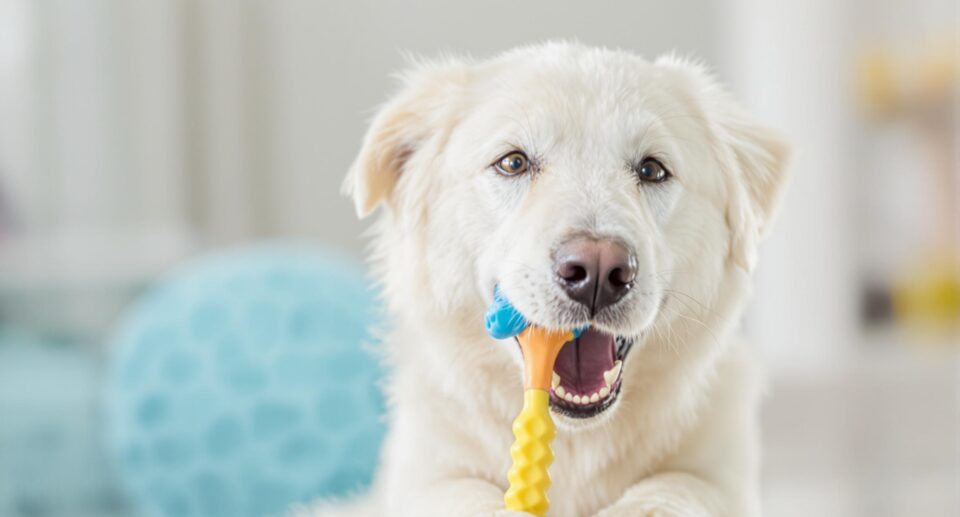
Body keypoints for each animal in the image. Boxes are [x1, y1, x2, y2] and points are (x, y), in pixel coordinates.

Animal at [300, 43, 788, 516]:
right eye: (513, 163)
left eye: (652, 170)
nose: (597, 272)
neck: (574, 443)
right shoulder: (426, 471)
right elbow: (458, 492)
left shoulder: (720, 473)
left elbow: (677, 488)